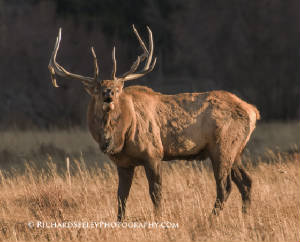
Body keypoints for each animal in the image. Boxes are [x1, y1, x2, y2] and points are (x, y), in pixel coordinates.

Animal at [48, 25, 258, 221]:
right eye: (98, 90)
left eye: (117, 88)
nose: (109, 93)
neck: (119, 137)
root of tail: (253, 111)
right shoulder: (123, 163)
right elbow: (121, 197)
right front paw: (120, 222)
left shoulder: (153, 153)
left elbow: (156, 193)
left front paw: (159, 219)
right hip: (235, 150)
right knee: (246, 181)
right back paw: (245, 217)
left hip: (222, 147)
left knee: (225, 186)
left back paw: (210, 220)